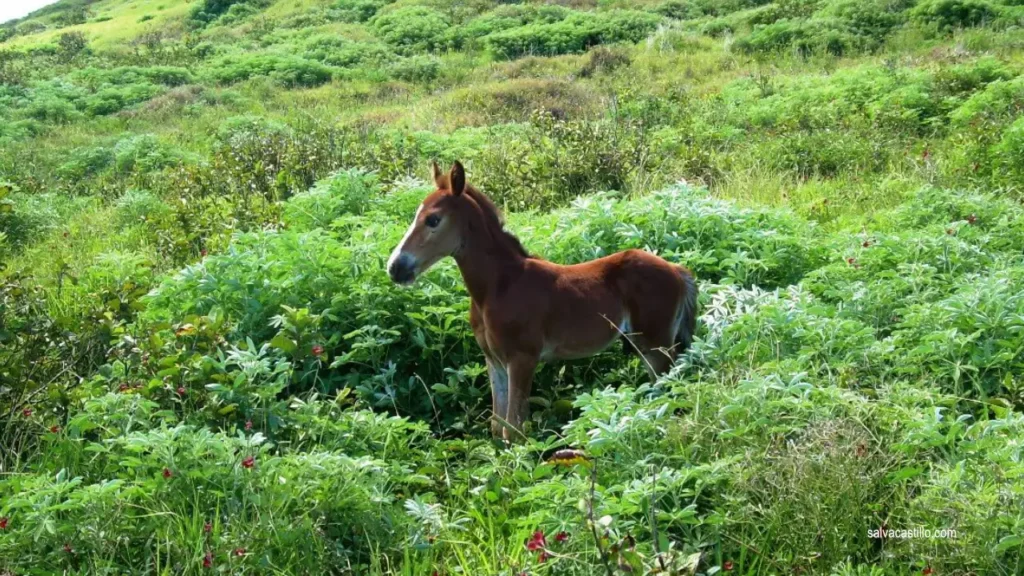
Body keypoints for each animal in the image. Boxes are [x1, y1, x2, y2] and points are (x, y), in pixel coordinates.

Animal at [387, 161, 700, 438]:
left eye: (433, 219)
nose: (395, 267)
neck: (498, 286)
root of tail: (676, 269)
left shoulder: (522, 359)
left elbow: (514, 429)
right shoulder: (494, 360)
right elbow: (497, 426)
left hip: (657, 345)